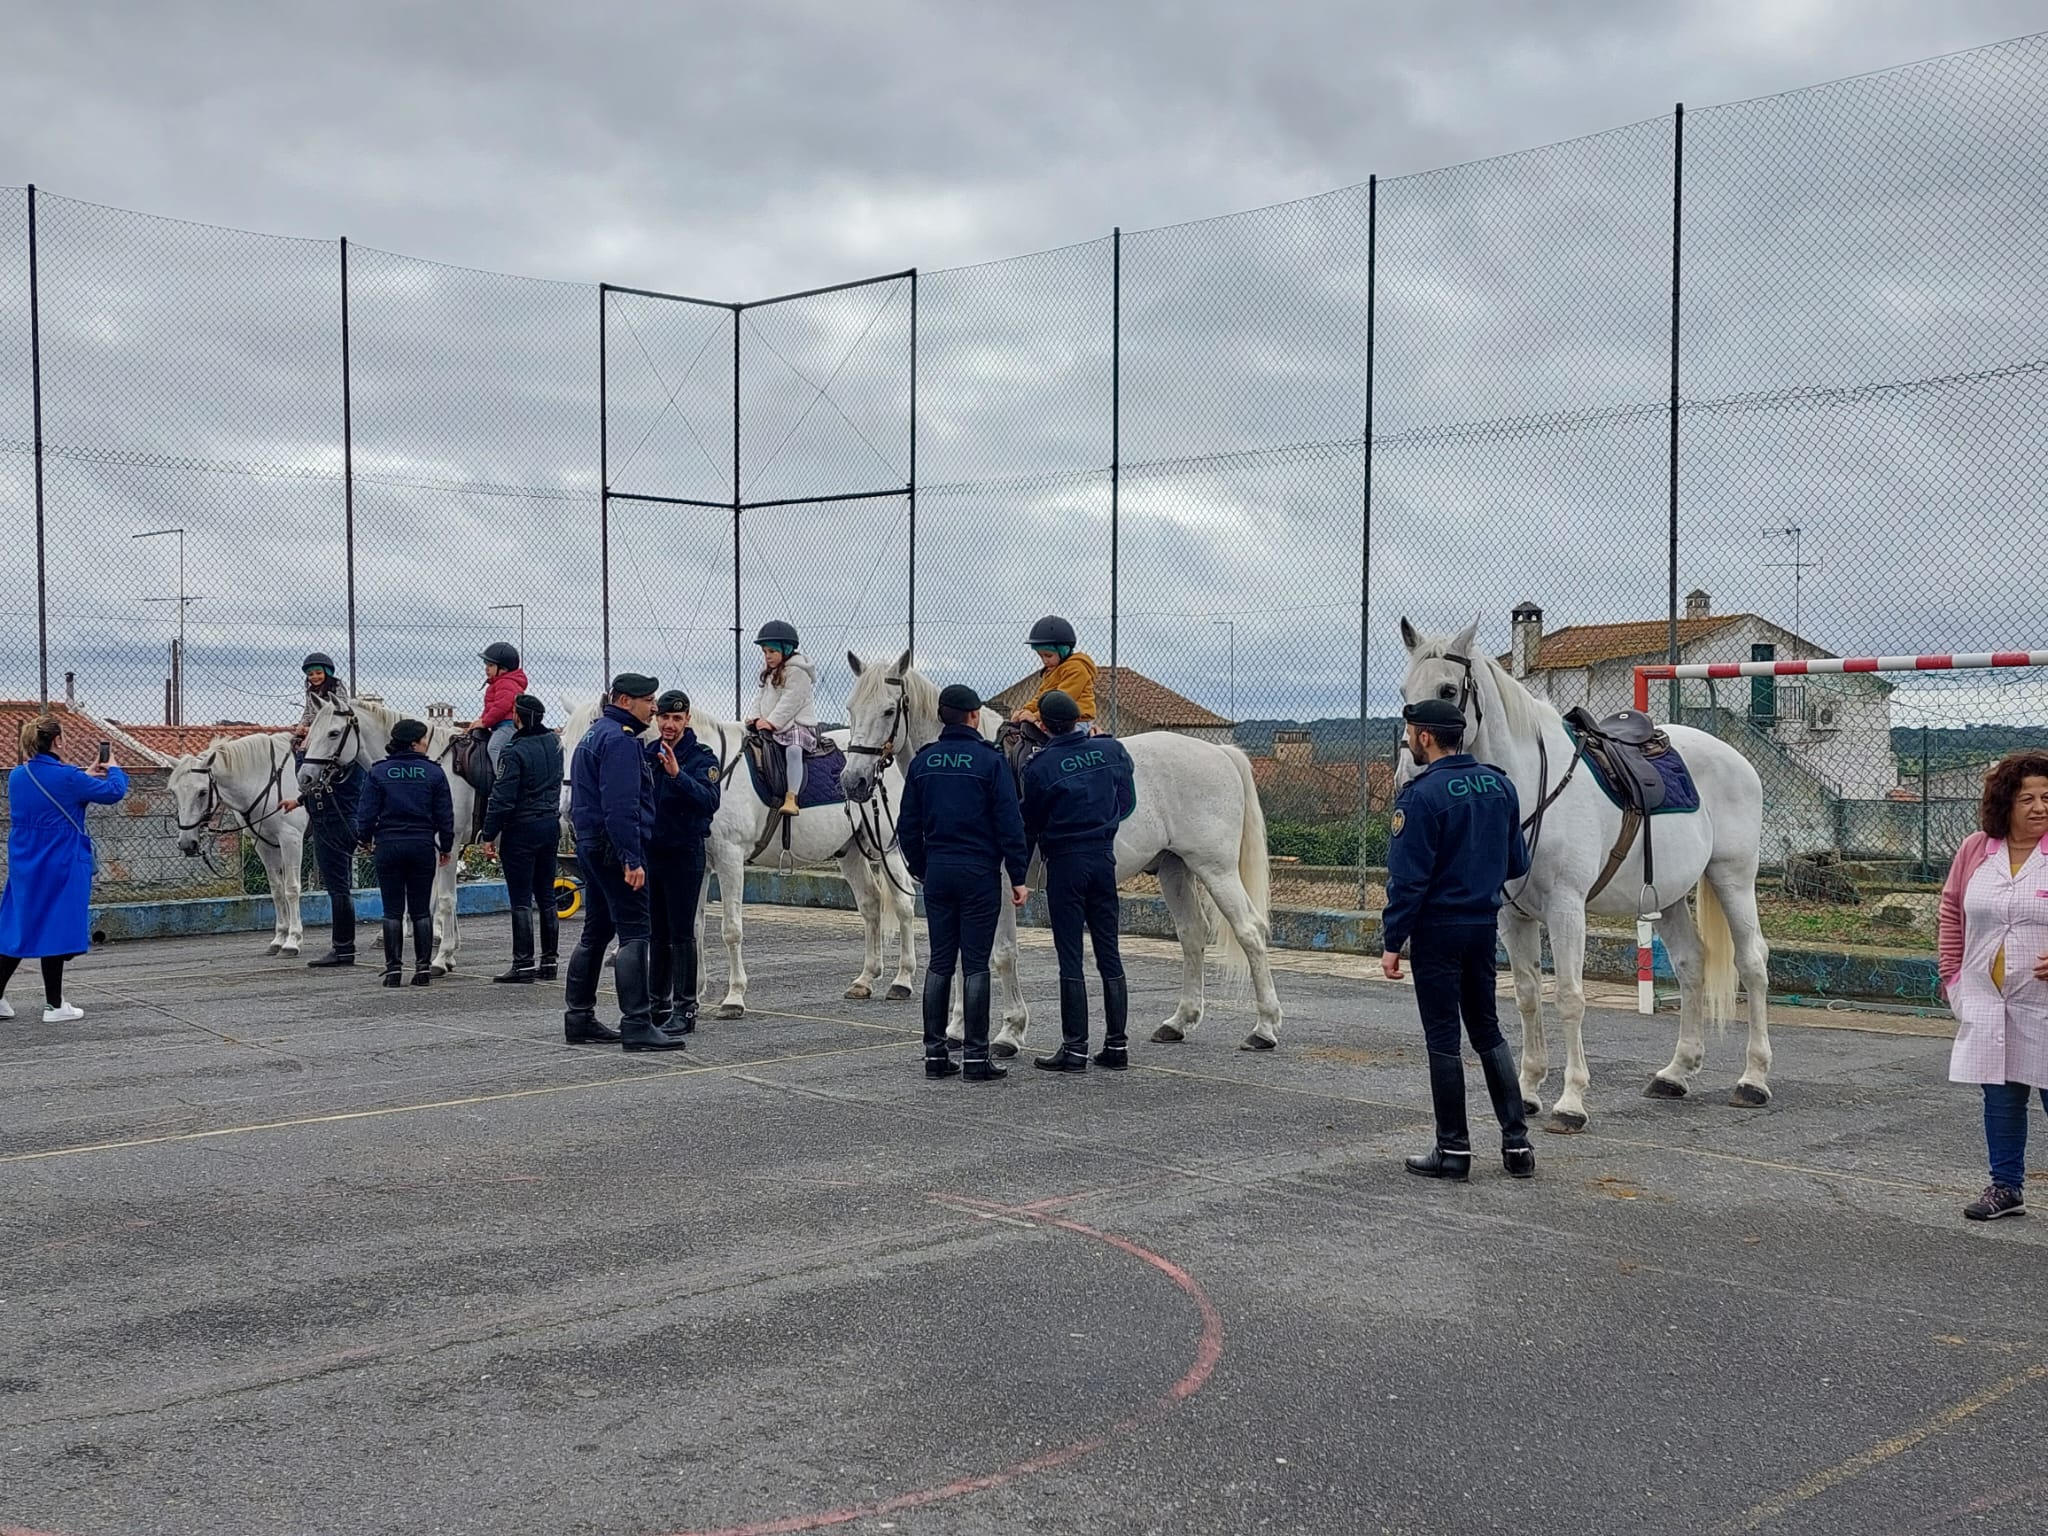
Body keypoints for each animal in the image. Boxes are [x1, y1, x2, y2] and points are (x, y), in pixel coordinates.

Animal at [166, 741, 307, 958]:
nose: (187, 843)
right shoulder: (265, 845)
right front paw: (279, 939)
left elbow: (291, 889)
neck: (267, 780)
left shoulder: (291, 839)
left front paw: (292, 941)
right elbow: (276, 889)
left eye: (202, 792)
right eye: (174, 792)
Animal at [299, 696, 477, 974]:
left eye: (333, 733)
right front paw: (448, 952)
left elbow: (446, 898)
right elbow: (435, 897)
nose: (305, 777)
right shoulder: (437, 847)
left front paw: (441, 957)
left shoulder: (448, 841)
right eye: (311, 733)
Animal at [557, 700, 917, 1024]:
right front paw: (694, 993)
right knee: (870, 905)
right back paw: (865, 979)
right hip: (850, 851)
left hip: (888, 848)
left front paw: (734, 998)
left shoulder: (729, 859)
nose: (568, 809)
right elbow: (693, 927)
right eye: (563, 745)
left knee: (903, 906)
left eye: (597, 746)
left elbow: (731, 930)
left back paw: (902, 980)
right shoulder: (698, 864)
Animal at [835, 651, 1277, 1056]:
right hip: (1175, 869)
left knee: (1250, 932)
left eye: (889, 709)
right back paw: (1180, 1021)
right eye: (851, 709)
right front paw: (958, 1029)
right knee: (1192, 934)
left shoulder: (1000, 885)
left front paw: (1009, 1032)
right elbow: (964, 951)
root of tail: (1219, 753)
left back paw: (1264, 1028)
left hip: (1214, 869)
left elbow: (1002, 954)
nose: (853, 782)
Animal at [1392, 614, 1777, 1130]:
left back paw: (1753, 1079)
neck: (1530, 786)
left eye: (1449, 690)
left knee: (1752, 962)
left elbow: (1569, 997)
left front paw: (1571, 1101)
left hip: (1733, 877)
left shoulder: (1566, 908)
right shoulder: (1512, 916)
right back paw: (1676, 1073)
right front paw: (1528, 1091)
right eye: (1404, 693)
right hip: (1670, 895)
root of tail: (1737, 759)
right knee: (1691, 964)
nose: (1409, 774)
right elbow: (1528, 996)